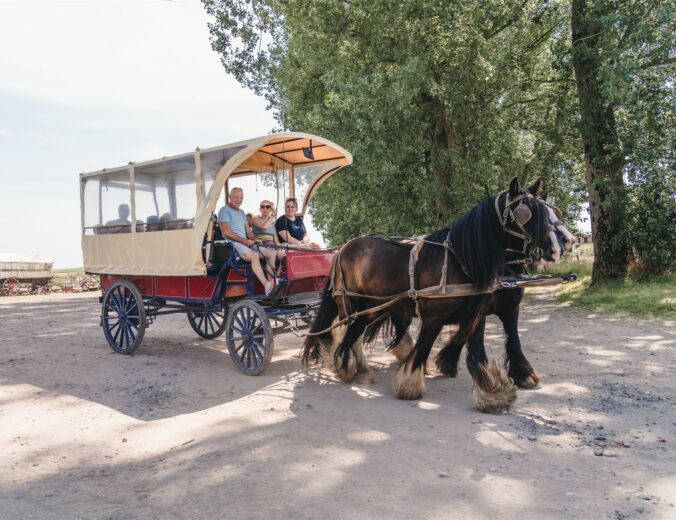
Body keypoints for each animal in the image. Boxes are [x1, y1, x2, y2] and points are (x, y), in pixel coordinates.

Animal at [302, 179, 564, 414]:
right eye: (528, 213)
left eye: (552, 211)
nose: (563, 243)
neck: (463, 260)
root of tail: (342, 249)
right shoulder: (433, 317)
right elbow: (424, 347)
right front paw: (409, 385)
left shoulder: (485, 313)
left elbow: (487, 349)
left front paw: (495, 391)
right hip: (352, 305)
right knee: (348, 334)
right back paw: (346, 366)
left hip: (374, 307)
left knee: (354, 333)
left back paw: (359, 369)